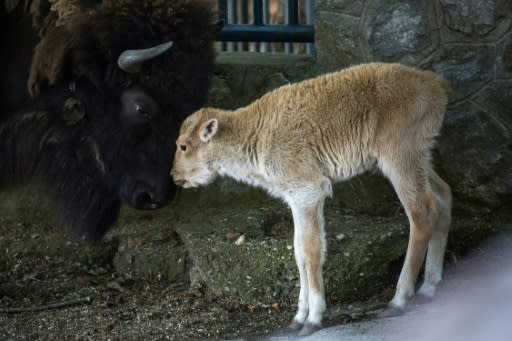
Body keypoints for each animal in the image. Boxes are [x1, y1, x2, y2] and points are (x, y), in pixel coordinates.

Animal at [172, 61, 452, 334]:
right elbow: (298, 252)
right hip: (421, 159)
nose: (175, 176)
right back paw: (428, 288)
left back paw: (399, 300)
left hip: (399, 160)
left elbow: (311, 251)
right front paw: (297, 318)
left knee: (421, 214)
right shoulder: (295, 200)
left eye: (183, 146)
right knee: (443, 197)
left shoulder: (308, 193)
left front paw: (313, 319)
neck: (257, 131)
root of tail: (435, 84)